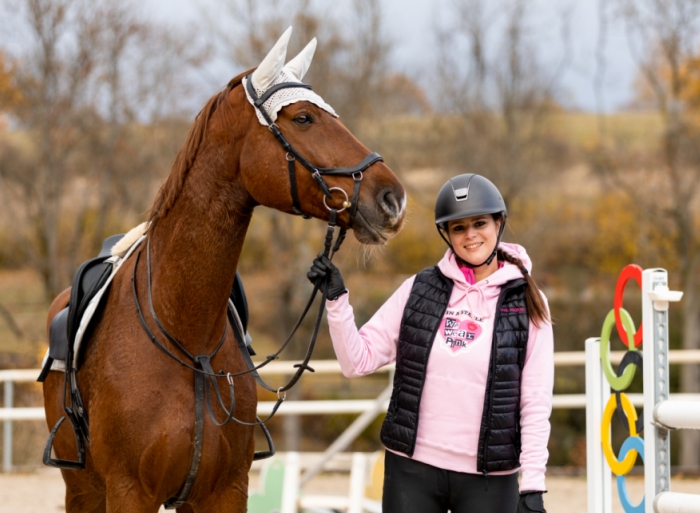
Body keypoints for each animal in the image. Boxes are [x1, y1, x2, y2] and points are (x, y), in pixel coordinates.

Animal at [42, 28, 405, 513]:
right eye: (304, 118)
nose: (392, 199)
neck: (185, 331)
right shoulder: (128, 491)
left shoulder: (226, 490)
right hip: (83, 489)